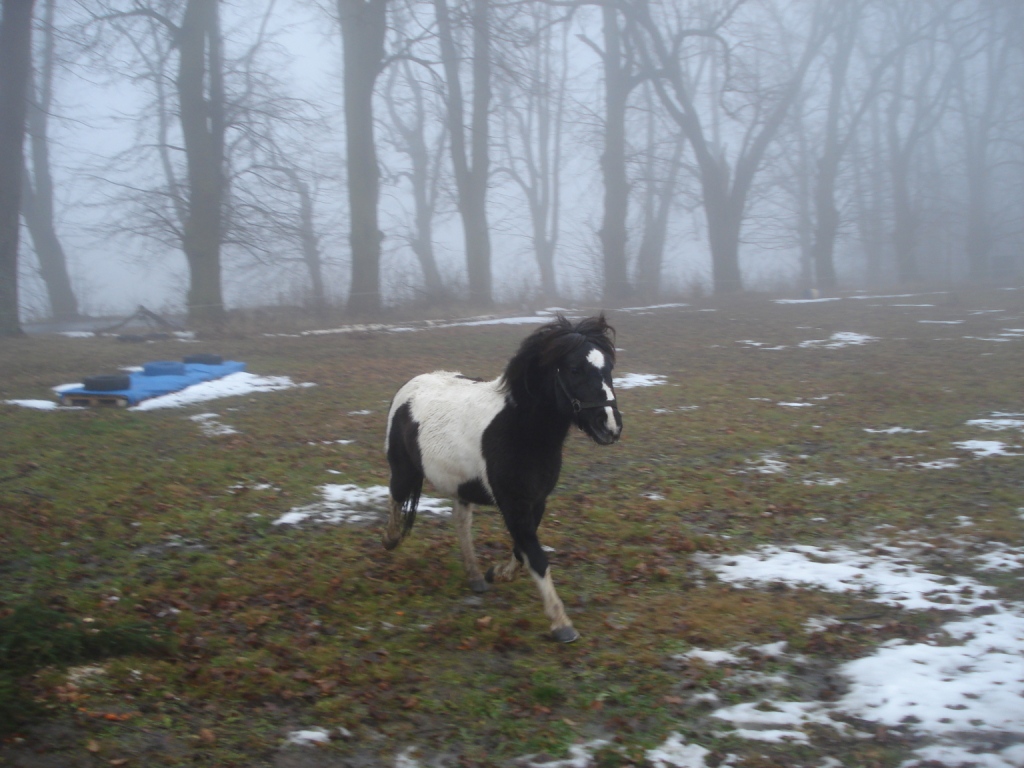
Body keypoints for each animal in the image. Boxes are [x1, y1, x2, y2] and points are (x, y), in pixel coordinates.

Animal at [385, 313, 622, 643]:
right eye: (575, 369)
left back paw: (475, 576)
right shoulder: (514, 504)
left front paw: (496, 573)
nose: (610, 426)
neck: (521, 428)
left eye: (609, 369)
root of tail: (410, 386)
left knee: (461, 523)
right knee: (396, 497)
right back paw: (391, 540)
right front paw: (561, 624)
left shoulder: (536, 501)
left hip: (462, 486)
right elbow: (535, 555)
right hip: (403, 469)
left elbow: (522, 551)